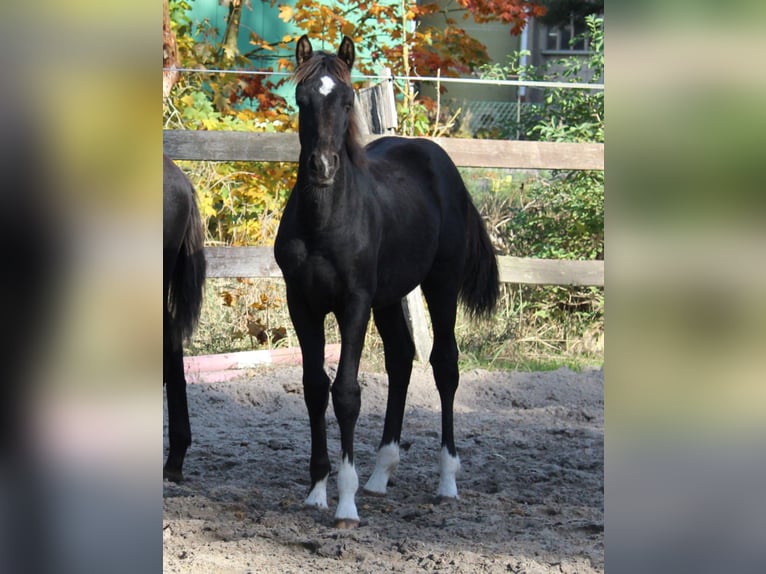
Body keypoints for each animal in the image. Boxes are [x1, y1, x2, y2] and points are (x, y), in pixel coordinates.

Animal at [278, 37, 504, 532]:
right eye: (302, 100)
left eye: (346, 101)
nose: (322, 166)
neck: (324, 222)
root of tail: (443, 166)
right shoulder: (301, 302)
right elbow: (313, 387)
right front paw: (317, 491)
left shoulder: (354, 302)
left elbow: (346, 392)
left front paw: (345, 505)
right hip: (390, 297)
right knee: (402, 358)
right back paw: (381, 475)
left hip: (440, 285)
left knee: (445, 365)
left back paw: (446, 481)